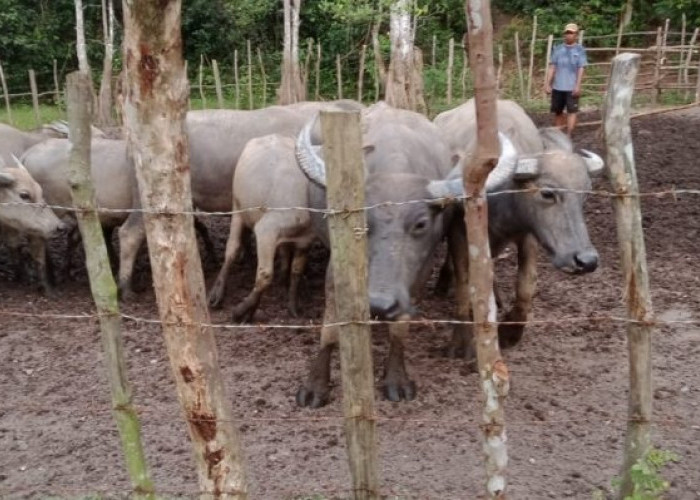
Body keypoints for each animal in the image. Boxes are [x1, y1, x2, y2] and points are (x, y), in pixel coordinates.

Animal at [205, 134, 314, 320]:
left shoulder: (305, 242)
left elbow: (296, 272)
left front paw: (293, 306)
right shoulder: (266, 231)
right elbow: (265, 275)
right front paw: (242, 311)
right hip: (237, 207)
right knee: (231, 249)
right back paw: (217, 292)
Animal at [292, 100, 516, 406]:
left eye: (420, 223)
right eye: (364, 221)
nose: (378, 304)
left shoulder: (420, 273)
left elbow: (400, 327)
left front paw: (396, 379)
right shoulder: (335, 268)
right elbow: (329, 329)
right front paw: (315, 387)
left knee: (463, 279)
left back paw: (460, 343)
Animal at [430, 97, 604, 362]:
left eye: (585, 194)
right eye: (547, 193)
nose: (586, 261)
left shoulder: (528, 235)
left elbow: (526, 283)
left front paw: (511, 331)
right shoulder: (460, 231)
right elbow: (464, 282)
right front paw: (462, 341)